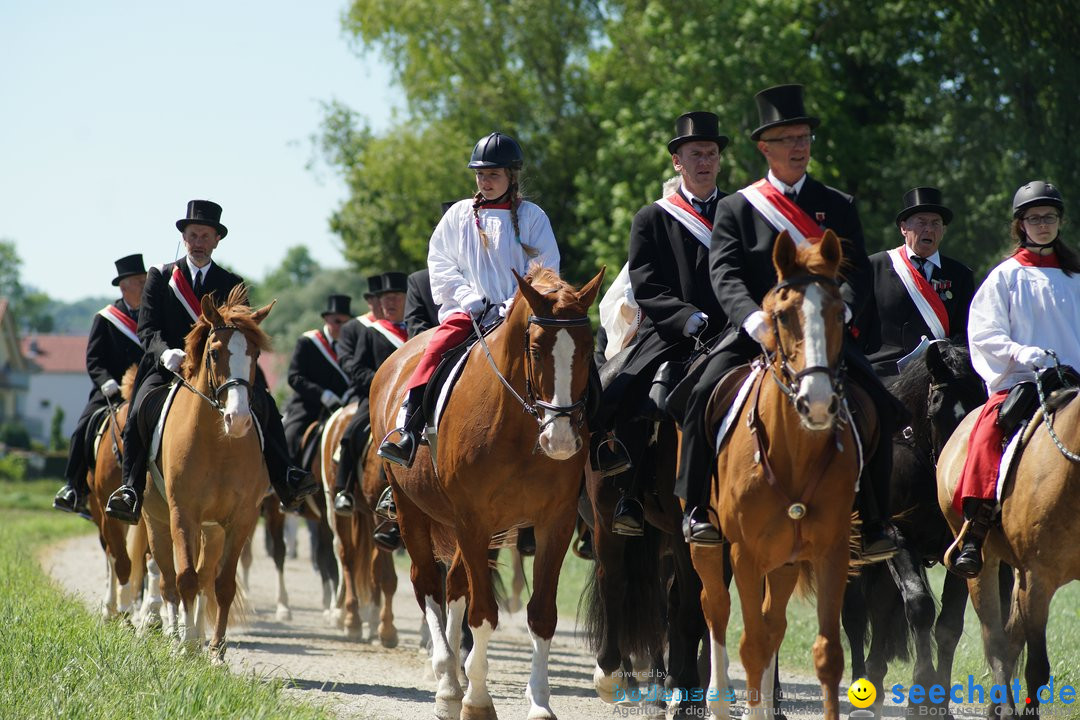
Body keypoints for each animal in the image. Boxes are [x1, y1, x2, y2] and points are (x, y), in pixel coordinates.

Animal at [140, 289, 270, 664]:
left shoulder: (240, 519)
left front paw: (216, 652)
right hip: (156, 521)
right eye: (214, 353)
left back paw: (197, 638)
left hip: (212, 532)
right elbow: (184, 579)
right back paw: (176, 636)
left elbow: (221, 584)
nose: (238, 419)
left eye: (255, 354)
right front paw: (183, 647)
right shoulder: (183, 514)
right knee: (169, 580)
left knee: (204, 575)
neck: (218, 444)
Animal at [371, 266, 604, 720]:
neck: (517, 425)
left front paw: (540, 704)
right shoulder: (473, 522)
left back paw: (454, 678)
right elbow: (482, 613)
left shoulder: (554, 522)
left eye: (588, 351)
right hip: (413, 511)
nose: (561, 441)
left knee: (455, 584)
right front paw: (477, 702)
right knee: (428, 583)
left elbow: (541, 614)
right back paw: (447, 685)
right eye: (536, 350)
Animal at [691, 232, 868, 720]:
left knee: (774, 622)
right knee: (716, 607)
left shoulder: (829, 552)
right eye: (782, 316)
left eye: (839, 314)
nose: (818, 401)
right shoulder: (744, 555)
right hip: (708, 547)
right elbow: (751, 646)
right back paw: (717, 700)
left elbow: (828, 655)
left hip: (786, 561)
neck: (795, 453)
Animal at [838, 343, 989, 716]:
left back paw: (875, 684)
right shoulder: (899, 538)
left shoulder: (960, 552)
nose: (959, 483)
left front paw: (937, 703)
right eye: (936, 408)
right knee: (856, 616)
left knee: (880, 610)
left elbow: (948, 625)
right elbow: (920, 608)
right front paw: (920, 694)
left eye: (981, 408)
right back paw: (861, 693)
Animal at [937, 371, 1080, 716]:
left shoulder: (1029, 577)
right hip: (984, 565)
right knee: (997, 642)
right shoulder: (1038, 578)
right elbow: (1037, 668)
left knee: (1011, 637)